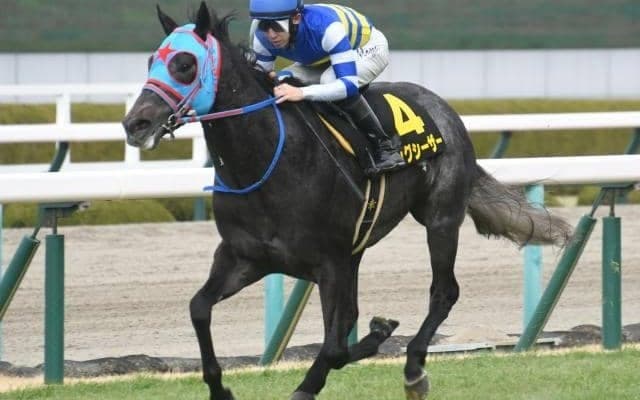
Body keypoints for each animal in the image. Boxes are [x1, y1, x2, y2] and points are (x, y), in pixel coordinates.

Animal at [122, 3, 572, 399]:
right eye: (151, 60)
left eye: (185, 64)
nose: (134, 123)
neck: (269, 162)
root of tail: (447, 112)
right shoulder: (244, 257)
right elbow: (199, 308)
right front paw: (220, 388)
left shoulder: (331, 262)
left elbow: (335, 346)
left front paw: (311, 383)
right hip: (358, 251)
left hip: (440, 219)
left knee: (444, 292)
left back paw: (414, 369)